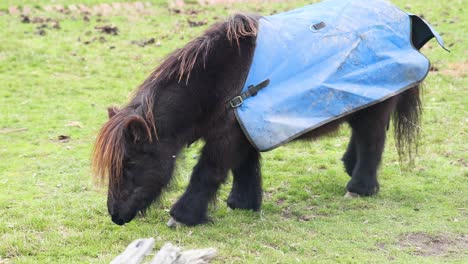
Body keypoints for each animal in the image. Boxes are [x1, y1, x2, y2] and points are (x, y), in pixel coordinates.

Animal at [91, 1, 442, 227]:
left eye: (130, 163)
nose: (115, 215)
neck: (221, 80)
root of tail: (403, 20)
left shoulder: (227, 136)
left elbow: (208, 173)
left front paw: (183, 216)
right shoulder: (242, 129)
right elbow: (245, 167)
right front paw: (243, 203)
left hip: (376, 105)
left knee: (372, 141)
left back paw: (359, 188)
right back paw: (349, 165)